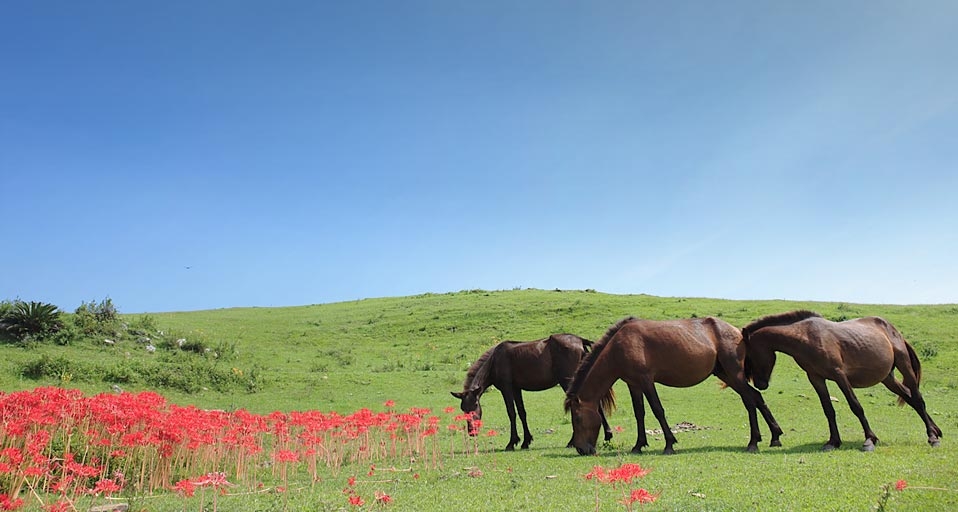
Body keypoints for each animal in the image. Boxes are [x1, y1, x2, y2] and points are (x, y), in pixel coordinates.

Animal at [451, 334, 613, 451]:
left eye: (475, 404)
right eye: (463, 409)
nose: (472, 432)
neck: (495, 361)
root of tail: (579, 340)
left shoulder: (506, 388)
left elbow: (511, 412)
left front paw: (512, 442)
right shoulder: (516, 389)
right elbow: (522, 412)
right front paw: (525, 441)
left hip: (567, 381)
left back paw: (574, 441)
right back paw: (607, 435)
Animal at [564, 316, 783, 455]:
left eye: (577, 418)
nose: (581, 449)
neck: (620, 345)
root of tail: (737, 331)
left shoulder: (646, 380)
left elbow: (657, 410)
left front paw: (669, 444)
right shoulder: (634, 384)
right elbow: (639, 413)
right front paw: (638, 445)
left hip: (734, 374)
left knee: (750, 401)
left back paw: (754, 442)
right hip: (726, 374)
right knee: (756, 397)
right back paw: (775, 436)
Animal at [742, 310, 942, 451]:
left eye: (749, 356)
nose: (760, 385)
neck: (807, 336)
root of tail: (894, 330)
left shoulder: (839, 375)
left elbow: (856, 406)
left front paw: (869, 440)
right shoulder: (816, 378)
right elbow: (828, 410)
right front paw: (833, 441)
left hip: (904, 366)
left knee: (918, 399)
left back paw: (932, 437)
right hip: (887, 378)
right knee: (910, 397)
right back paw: (936, 431)